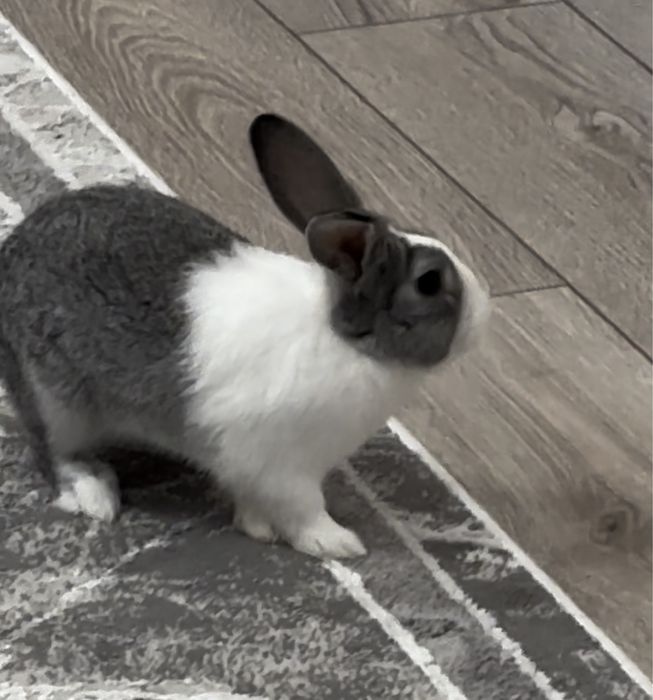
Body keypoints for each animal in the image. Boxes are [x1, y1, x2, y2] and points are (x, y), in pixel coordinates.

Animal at [0, 114, 488, 559]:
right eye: (429, 283)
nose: (485, 312)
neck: (348, 342)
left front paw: (257, 528)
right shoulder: (282, 467)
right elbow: (304, 509)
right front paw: (337, 543)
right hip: (58, 404)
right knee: (53, 453)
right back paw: (95, 494)